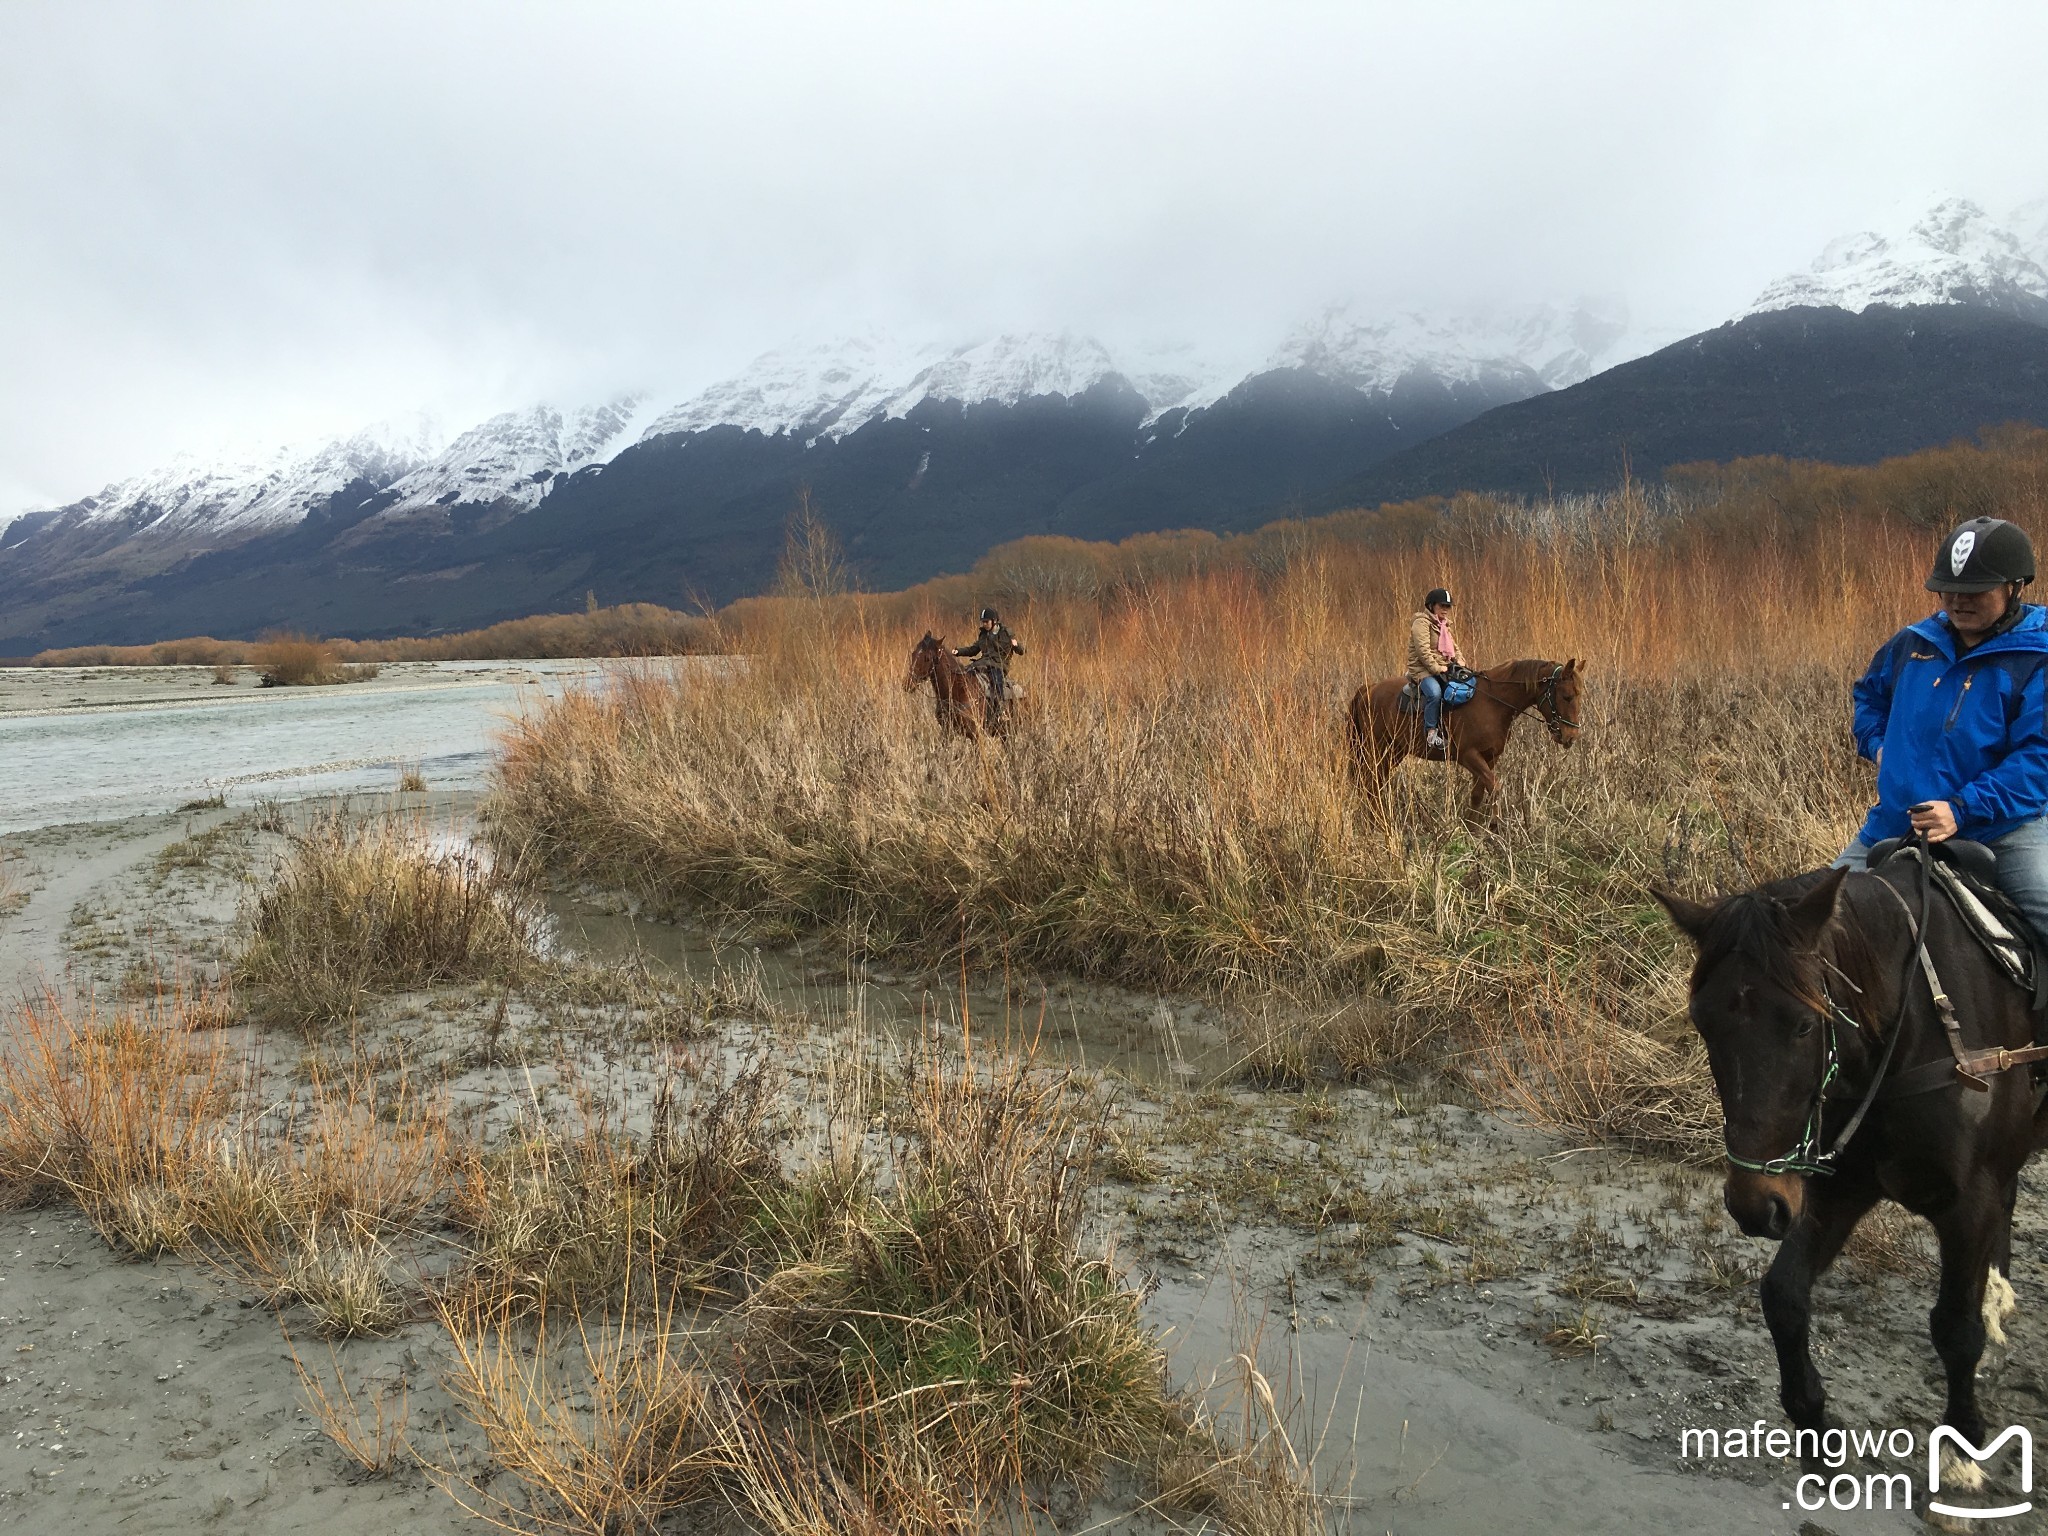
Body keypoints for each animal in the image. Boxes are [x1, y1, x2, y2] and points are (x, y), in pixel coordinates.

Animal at [1343, 655, 1581, 811]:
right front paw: (1494, 829)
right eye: (1567, 696)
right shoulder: (1468, 756)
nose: (1570, 736)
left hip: (1394, 751)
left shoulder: (1489, 757)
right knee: (1369, 782)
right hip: (1375, 749)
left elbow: (1478, 794)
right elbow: (1494, 787)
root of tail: (1368, 689)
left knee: (1375, 782)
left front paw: (1475, 833)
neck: (1493, 702)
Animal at [1662, 860, 2048, 1482]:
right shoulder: (1835, 1192)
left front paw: (1963, 1449)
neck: (1915, 1032)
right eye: (1703, 1022)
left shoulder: (1967, 1203)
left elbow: (1954, 1328)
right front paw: (1814, 1427)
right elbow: (1783, 1294)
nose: (1753, 1204)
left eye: (1803, 1025)